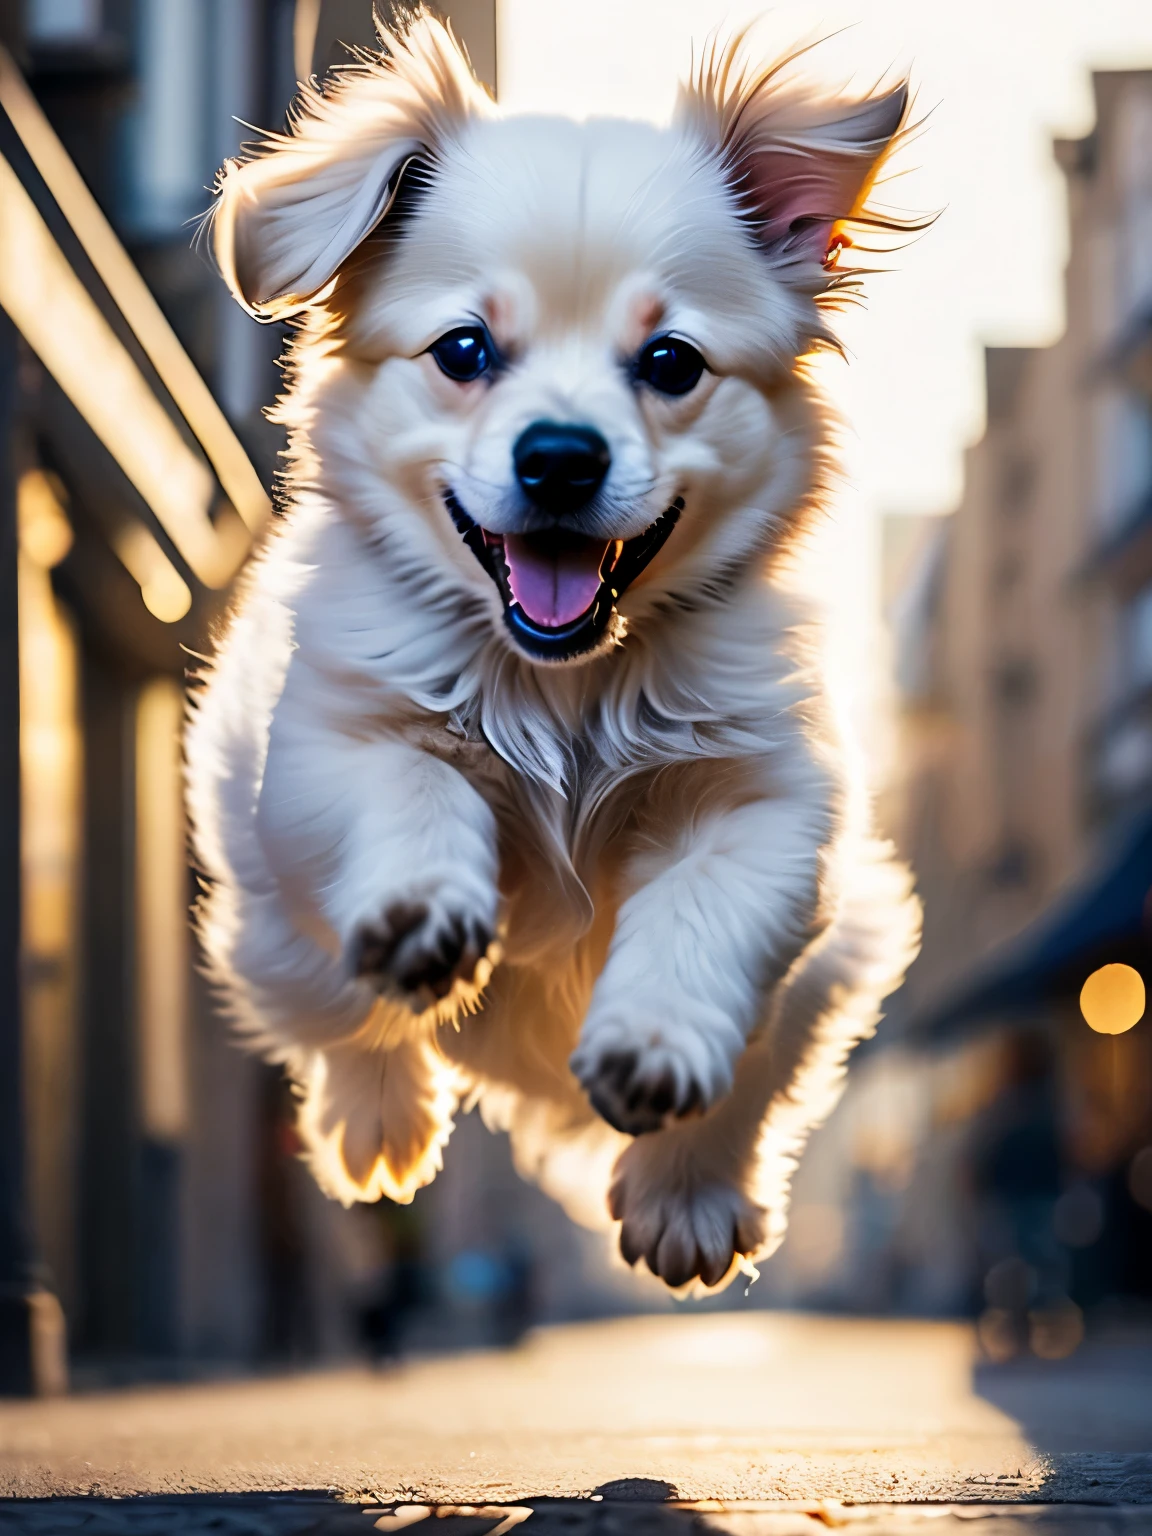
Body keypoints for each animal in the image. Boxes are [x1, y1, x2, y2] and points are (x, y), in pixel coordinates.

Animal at [185, 12, 927, 1290]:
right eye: (464, 350)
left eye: (672, 362)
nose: (562, 456)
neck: (563, 684)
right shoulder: (332, 742)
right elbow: (416, 786)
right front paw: (424, 913)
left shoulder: (774, 809)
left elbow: (703, 916)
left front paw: (655, 1049)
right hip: (272, 929)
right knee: (340, 1023)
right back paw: (379, 1120)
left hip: (845, 954)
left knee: (761, 1074)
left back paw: (688, 1200)